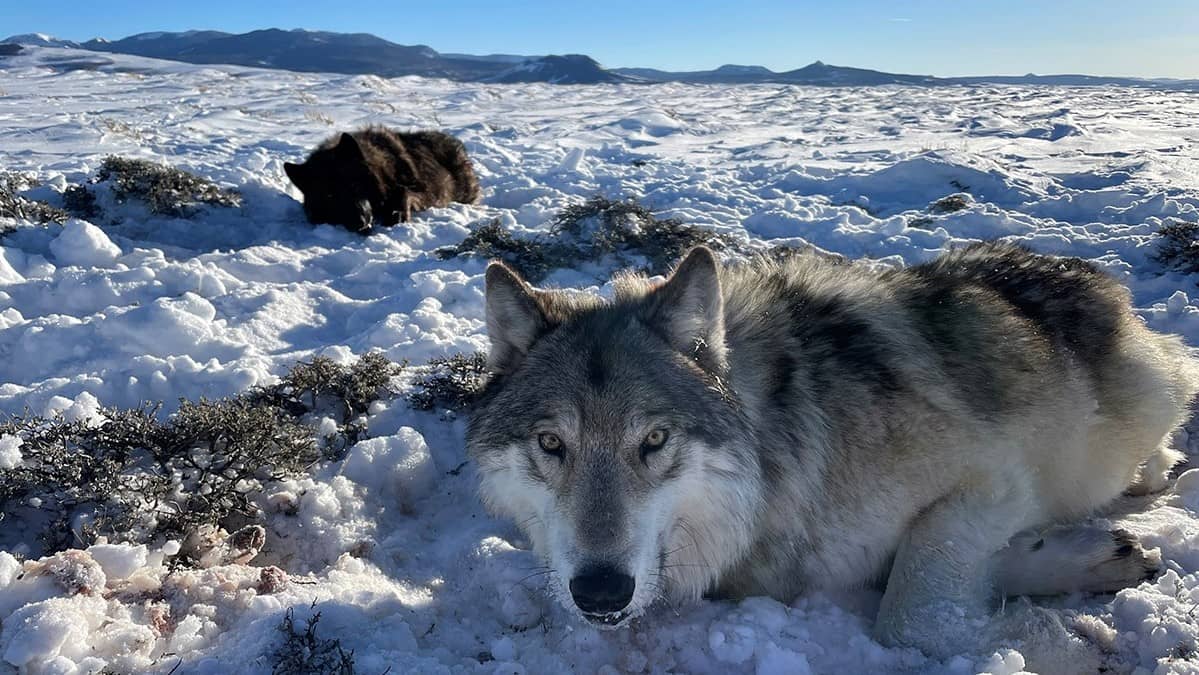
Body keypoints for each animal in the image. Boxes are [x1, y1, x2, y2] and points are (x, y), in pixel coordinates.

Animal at [282, 128, 479, 233]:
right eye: (330, 196)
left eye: (354, 185)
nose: (360, 222)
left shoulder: (423, 191)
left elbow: (403, 191)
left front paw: (397, 215)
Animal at [462, 243, 1194, 661]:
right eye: (551, 443)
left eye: (654, 440)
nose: (599, 591)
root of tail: (1089, 274)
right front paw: (1073, 561)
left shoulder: (994, 477)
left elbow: (911, 614)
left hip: (1144, 401)